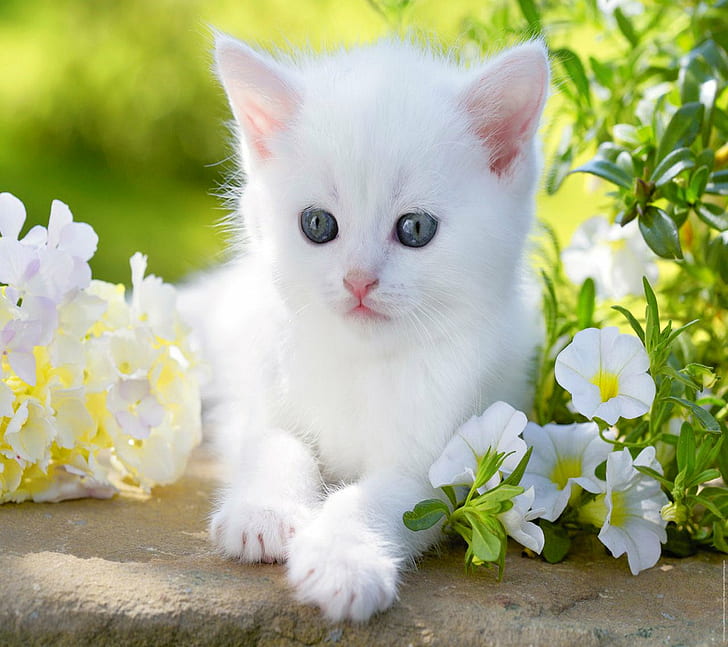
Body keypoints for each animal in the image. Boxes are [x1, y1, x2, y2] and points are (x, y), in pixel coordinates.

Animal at [185, 34, 548, 624]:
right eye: (317, 224)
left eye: (415, 228)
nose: (358, 279)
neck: (361, 362)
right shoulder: (262, 395)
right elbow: (276, 443)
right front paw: (263, 513)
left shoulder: (441, 466)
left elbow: (378, 497)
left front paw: (342, 562)